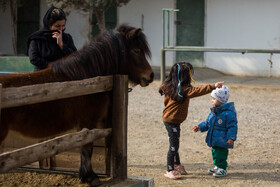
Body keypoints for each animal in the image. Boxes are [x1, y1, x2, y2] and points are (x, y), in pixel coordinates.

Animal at [0, 24, 154, 185]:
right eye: (136, 50)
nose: (150, 75)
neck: (86, 81)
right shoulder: (87, 123)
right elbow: (87, 148)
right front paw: (90, 177)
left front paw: (85, 175)